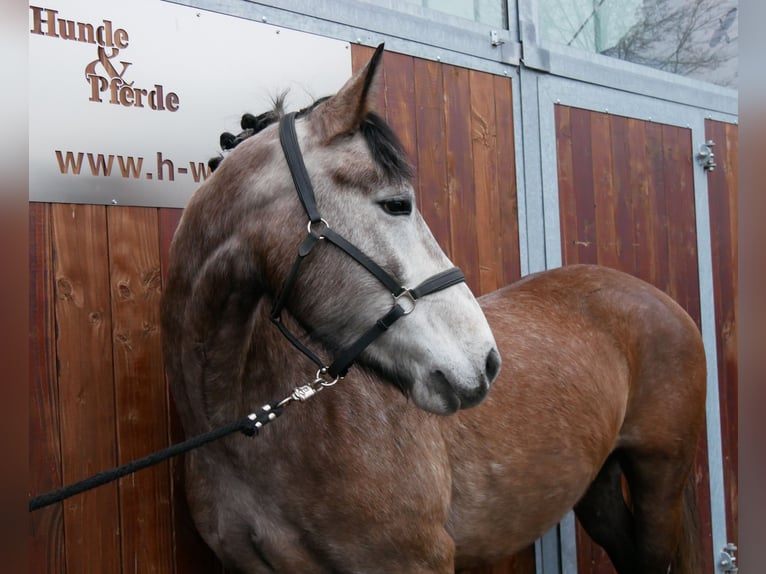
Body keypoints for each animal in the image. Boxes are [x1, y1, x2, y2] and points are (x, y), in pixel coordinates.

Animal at [160, 45, 707, 574]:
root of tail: (655, 297)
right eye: (397, 204)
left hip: (661, 475)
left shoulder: (413, 561)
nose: (486, 362)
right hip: (598, 485)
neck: (251, 435)